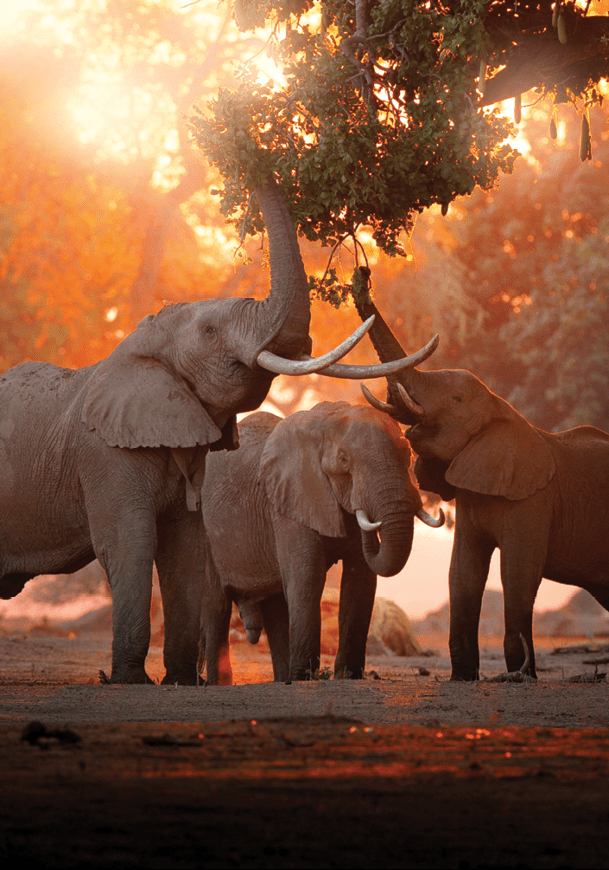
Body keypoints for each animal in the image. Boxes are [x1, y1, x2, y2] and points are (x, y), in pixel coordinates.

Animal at [199, 402, 444, 684]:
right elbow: (308, 576)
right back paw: (224, 682)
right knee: (217, 606)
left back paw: (284, 679)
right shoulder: (288, 501)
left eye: (407, 454)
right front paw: (307, 678)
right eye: (344, 461)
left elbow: (359, 580)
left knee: (275, 605)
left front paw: (349, 676)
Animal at [355, 293, 609, 680]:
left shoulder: (533, 502)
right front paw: (463, 678)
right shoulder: (472, 495)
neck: (500, 410)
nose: (363, 281)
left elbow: (517, 574)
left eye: (457, 400)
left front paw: (521, 677)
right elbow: (462, 571)